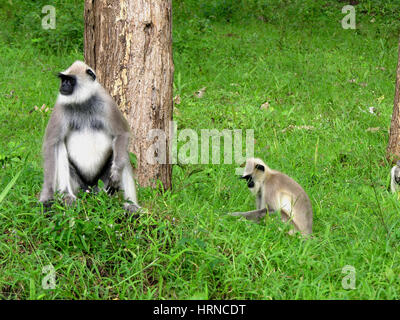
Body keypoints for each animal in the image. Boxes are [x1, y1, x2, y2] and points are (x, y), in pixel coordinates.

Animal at [39, 61, 139, 214]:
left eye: (70, 80)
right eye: (63, 79)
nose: (63, 86)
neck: (82, 102)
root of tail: (90, 189)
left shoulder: (106, 102)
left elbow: (122, 133)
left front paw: (116, 174)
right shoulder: (60, 105)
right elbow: (51, 143)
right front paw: (46, 196)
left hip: (102, 185)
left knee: (123, 156)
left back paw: (132, 205)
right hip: (78, 184)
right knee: (59, 144)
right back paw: (67, 195)